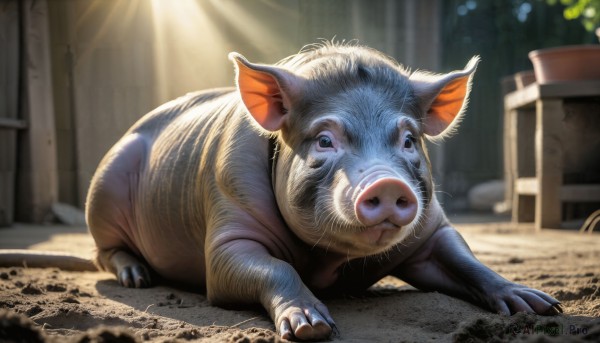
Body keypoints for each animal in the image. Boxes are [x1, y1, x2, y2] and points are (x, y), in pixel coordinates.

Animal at [8, 43, 564, 342]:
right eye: (324, 139)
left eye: (408, 140)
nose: (387, 183)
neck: (331, 261)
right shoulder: (226, 233)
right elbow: (270, 267)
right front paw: (312, 326)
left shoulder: (431, 228)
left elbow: (466, 260)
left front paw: (541, 306)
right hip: (100, 194)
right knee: (105, 254)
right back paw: (138, 277)